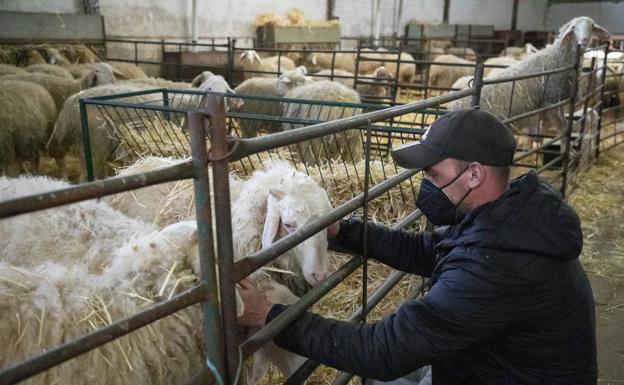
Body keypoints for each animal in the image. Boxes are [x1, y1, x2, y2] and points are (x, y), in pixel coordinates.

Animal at [448, 16, 608, 142]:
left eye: (592, 26)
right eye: (574, 28)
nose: (584, 40)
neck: (557, 57)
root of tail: (454, 104)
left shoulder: (559, 102)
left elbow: (564, 125)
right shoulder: (551, 100)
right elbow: (562, 129)